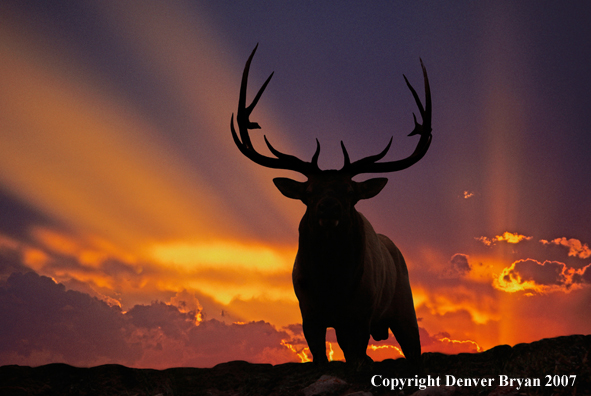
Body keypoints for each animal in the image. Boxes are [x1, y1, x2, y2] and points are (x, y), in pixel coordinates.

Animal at [230, 45, 430, 368]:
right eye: (309, 192)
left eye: (350, 191)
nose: (328, 208)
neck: (331, 285)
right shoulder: (308, 314)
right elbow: (321, 358)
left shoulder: (361, 315)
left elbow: (356, 358)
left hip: (404, 307)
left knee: (413, 349)